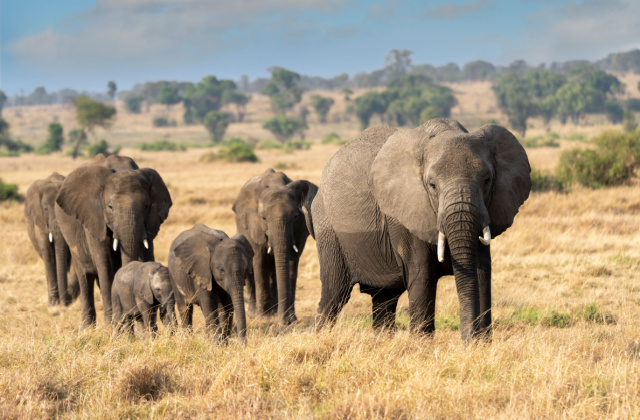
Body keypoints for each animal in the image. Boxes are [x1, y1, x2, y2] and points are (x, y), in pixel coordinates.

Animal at [25, 172, 79, 306]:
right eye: (45, 209)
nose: (65, 302)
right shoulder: (40, 220)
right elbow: (48, 254)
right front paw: (54, 304)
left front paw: (69, 299)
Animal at [54, 156, 172, 330]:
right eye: (110, 207)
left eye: (146, 206)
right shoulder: (94, 219)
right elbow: (106, 267)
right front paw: (112, 326)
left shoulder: (149, 223)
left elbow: (146, 256)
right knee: (86, 278)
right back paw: (87, 329)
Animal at [232, 168, 318, 324]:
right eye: (264, 218)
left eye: (296, 216)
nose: (283, 321)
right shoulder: (255, 226)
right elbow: (259, 262)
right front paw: (263, 317)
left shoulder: (299, 230)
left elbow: (291, 264)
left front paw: (290, 319)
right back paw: (255, 313)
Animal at [312, 120, 532, 342]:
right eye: (432, 185)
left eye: (487, 180)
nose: (467, 338)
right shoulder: (406, 215)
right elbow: (422, 274)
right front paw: (421, 344)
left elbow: (482, 270)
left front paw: (481, 343)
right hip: (328, 230)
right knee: (334, 295)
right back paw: (319, 335)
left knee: (384, 299)